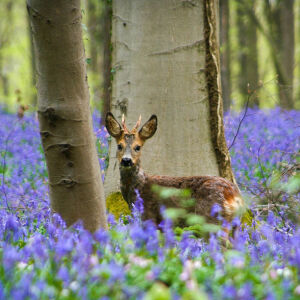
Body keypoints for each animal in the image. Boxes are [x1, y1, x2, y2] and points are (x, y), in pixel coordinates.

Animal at [105, 112, 244, 225]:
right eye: (119, 146)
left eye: (137, 147)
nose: (126, 160)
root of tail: (236, 197)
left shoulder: (149, 215)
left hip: (211, 217)